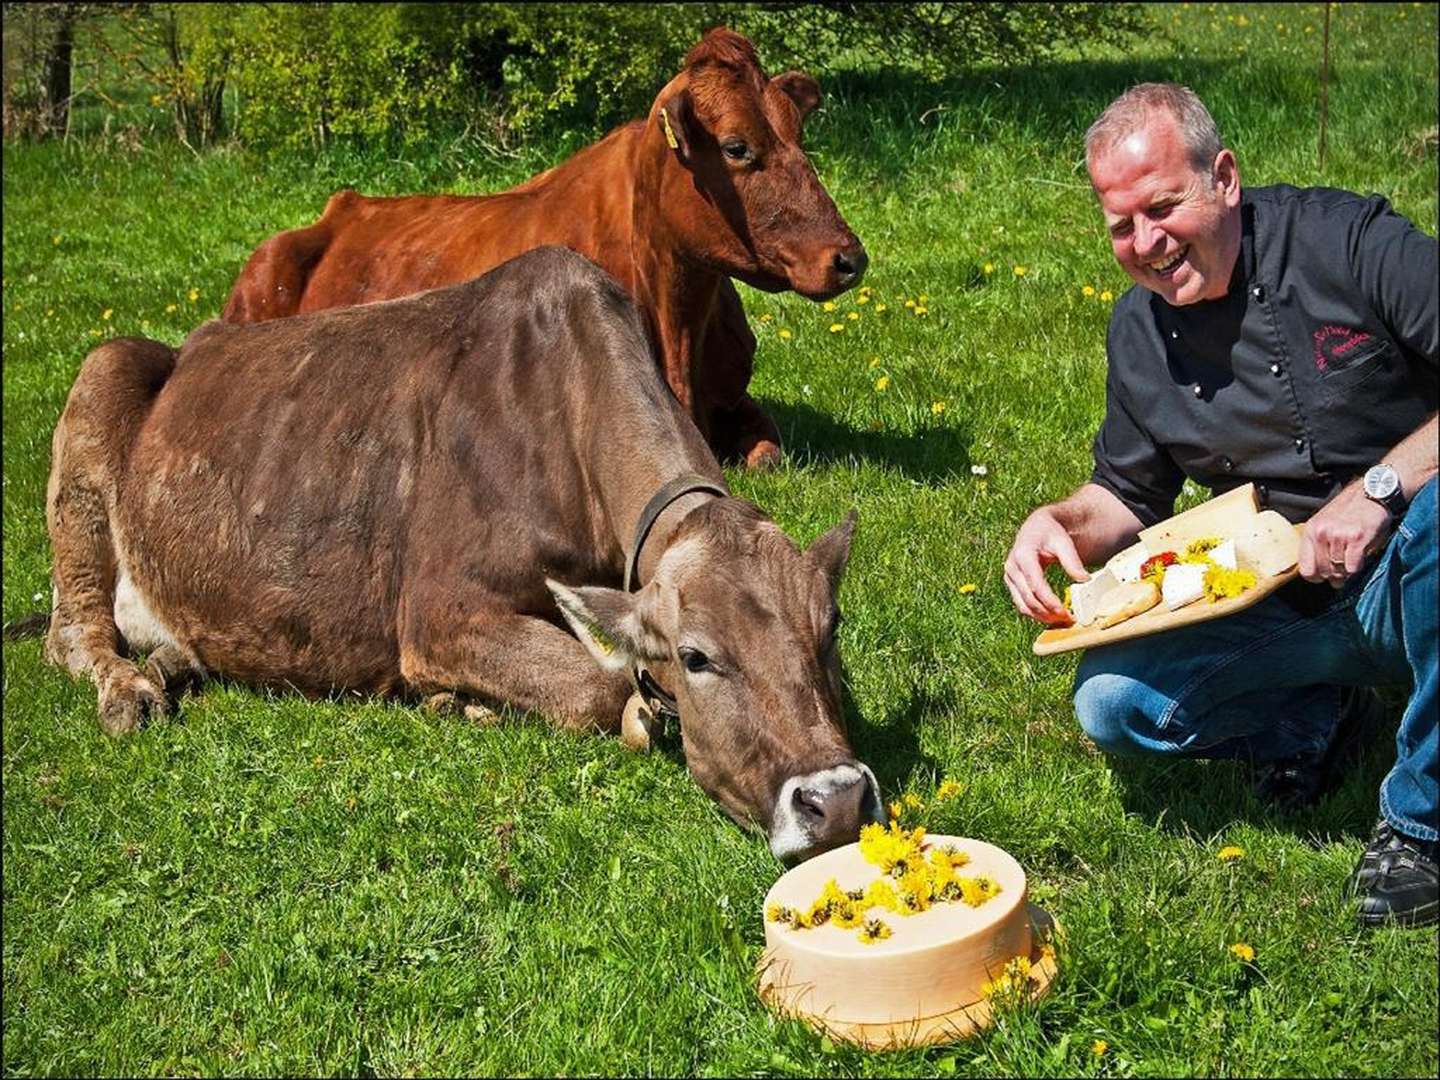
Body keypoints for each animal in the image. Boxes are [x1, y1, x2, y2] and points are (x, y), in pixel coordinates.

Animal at [42, 249, 875, 869]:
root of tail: (195, 340)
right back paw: (130, 690)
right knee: (71, 633)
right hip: (99, 386)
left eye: (829, 630)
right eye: (697, 657)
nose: (834, 800)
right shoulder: (441, 611)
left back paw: (174, 661)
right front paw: (471, 702)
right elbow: (606, 688)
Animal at [224, 26, 864, 469]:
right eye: (736, 147)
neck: (678, 320)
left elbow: (768, 455)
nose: (849, 258)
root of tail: (342, 206)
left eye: (799, 136)